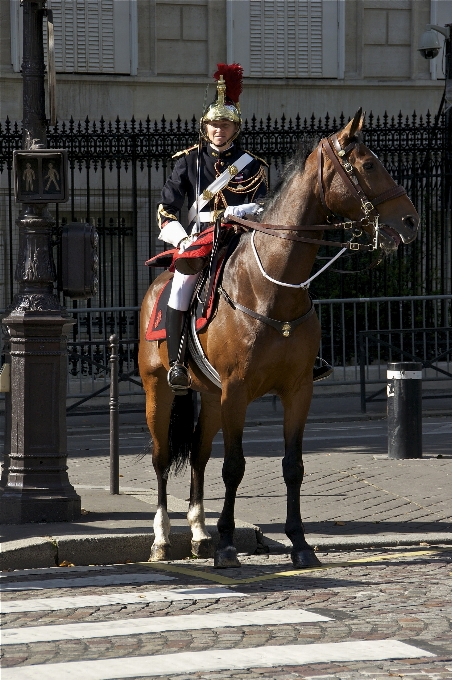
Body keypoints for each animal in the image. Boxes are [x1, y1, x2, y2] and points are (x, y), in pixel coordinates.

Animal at [139, 110, 420, 568]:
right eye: (368, 165)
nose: (411, 221)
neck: (273, 286)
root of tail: (158, 283)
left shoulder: (297, 390)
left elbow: (293, 466)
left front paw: (300, 543)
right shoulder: (236, 391)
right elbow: (234, 466)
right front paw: (229, 545)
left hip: (210, 397)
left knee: (198, 455)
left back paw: (199, 534)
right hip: (158, 389)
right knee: (162, 457)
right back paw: (163, 539)